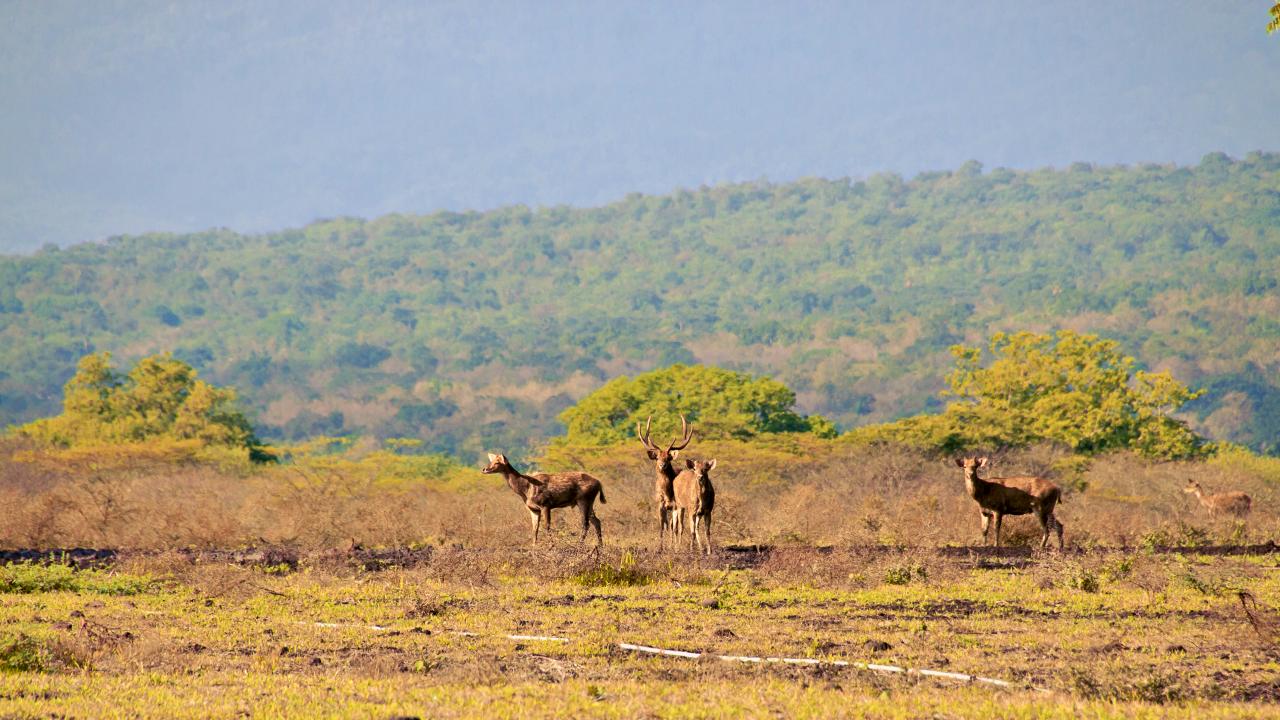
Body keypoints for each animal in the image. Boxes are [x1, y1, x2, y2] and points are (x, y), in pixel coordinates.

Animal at [637, 412, 696, 545]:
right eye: (657, 457)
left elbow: (675, 528)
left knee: (679, 526)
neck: (667, 494)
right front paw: (661, 547)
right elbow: (662, 528)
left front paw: (674, 546)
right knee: (669, 525)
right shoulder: (660, 504)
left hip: (681, 505)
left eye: (668, 458)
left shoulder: (675, 505)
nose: (662, 465)